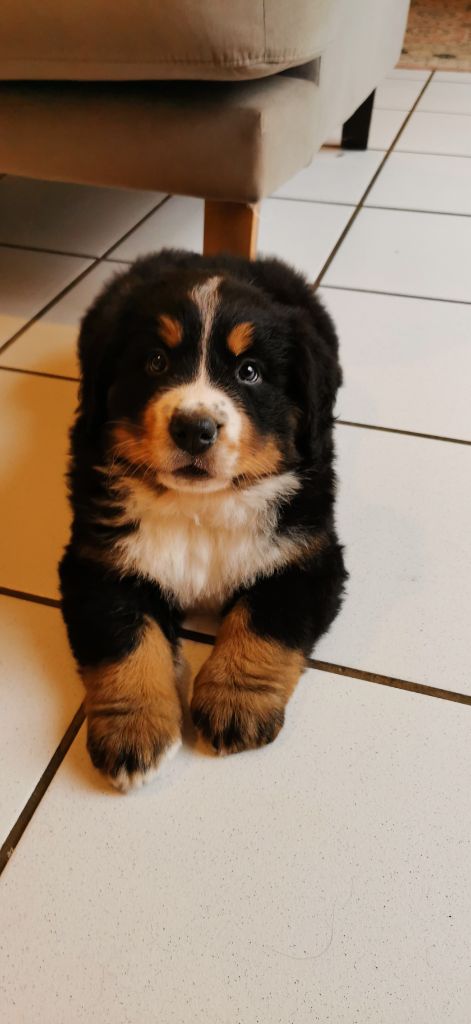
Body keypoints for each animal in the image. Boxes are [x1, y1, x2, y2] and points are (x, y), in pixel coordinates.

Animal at [57, 245, 346, 790]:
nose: (195, 428)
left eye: (250, 371)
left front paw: (234, 702)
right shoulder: (97, 562)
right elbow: (127, 640)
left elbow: (263, 622)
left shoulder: (308, 556)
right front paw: (134, 731)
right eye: (156, 361)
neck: (198, 509)